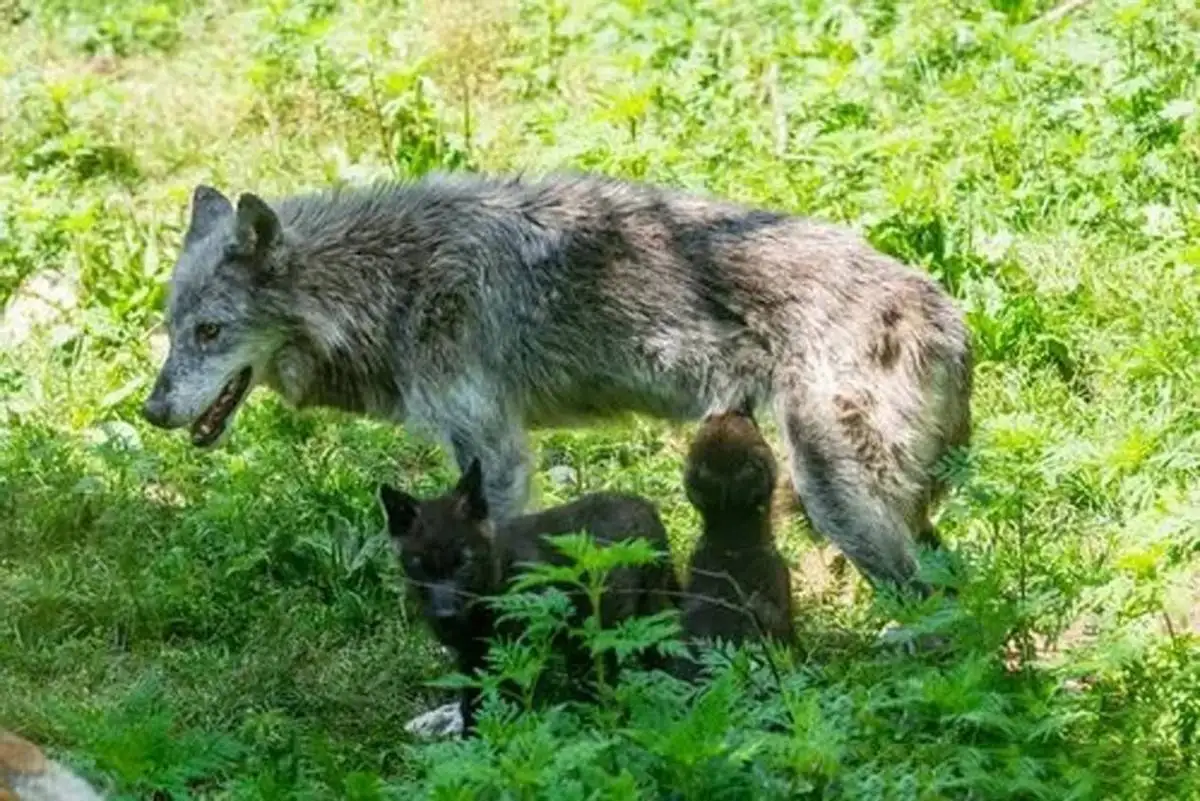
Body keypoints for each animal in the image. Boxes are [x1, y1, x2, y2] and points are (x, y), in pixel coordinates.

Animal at [140, 172, 969, 592]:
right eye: (173, 329)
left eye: (210, 333)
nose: (152, 409)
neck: (388, 283)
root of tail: (947, 315)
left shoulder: (496, 454)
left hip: (835, 500)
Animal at [381, 455, 681, 733]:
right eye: (420, 565)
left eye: (464, 561)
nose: (445, 616)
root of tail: (647, 507)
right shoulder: (471, 661)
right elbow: (473, 710)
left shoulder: (519, 654)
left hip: (642, 615)